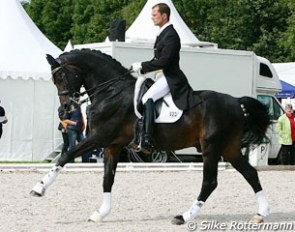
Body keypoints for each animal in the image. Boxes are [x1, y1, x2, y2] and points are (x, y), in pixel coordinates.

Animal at [31, 48, 272, 225]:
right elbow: (107, 178)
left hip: (211, 148)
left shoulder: (99, 138)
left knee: (210, 182)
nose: (65, 109)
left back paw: (184, 216)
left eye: (61, 77)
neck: (111, 93)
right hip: (228, 148)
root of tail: (236, 102)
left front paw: (39, 188)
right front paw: (101, 213)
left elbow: (66, 155)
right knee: (251, 174)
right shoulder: (112, 145)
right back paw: (261, 213)